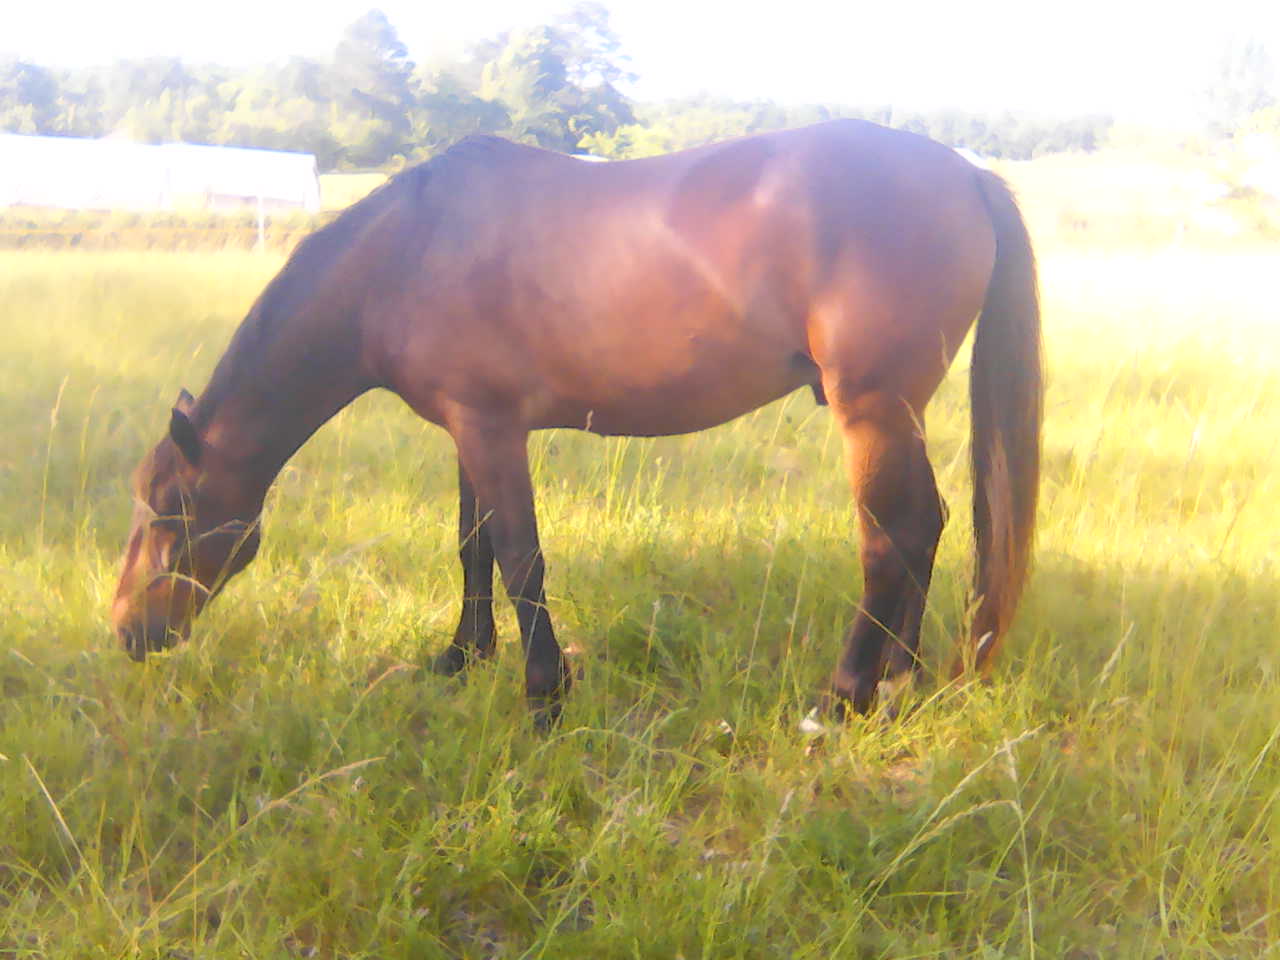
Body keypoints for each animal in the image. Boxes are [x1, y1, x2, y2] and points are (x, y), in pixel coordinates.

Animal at [107, 120, 1039, 721]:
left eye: (174, 513)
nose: (126, 632)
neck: (409, 250)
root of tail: (967, 174)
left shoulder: (492, 429)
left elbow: (521, 558)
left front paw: (544, 695)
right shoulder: (466, 429)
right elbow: (474, 544)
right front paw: (461, 658)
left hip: (872, 409)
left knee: (892, 536)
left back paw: (843, 698)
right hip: (902, 414)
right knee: (928, 525)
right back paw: (899, 682)